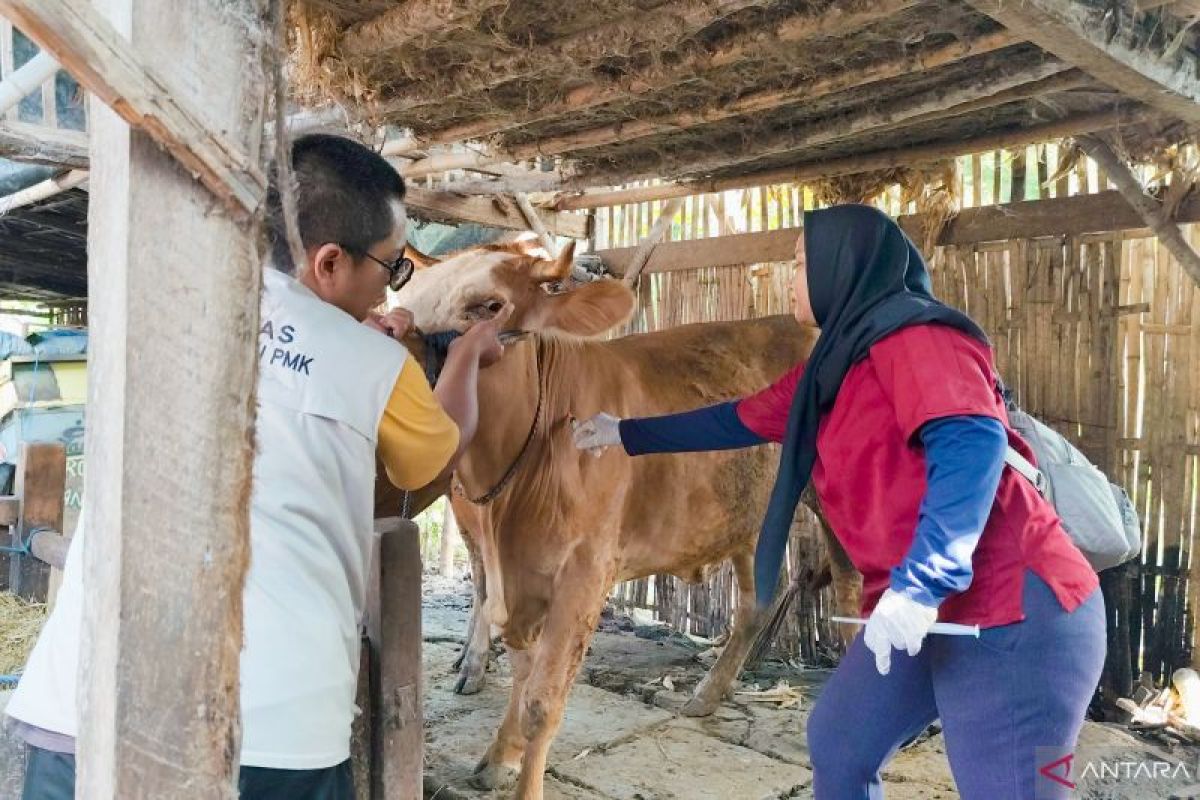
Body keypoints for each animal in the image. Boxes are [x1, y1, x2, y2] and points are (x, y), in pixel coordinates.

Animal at [391, 242, 854, 800]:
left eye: (489, 306)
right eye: (407, 300)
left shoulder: (585, 573)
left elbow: (542, 701)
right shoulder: (515, 576)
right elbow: (522, 676)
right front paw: (499, 755)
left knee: (852, 591)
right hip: (751, 513)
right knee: (757, 601)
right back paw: (707, 694)